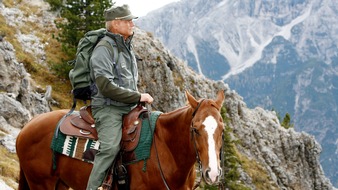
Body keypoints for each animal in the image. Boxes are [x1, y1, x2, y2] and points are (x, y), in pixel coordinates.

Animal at [17, 90, 226, 190]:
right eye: (195, 129)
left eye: (222, 129)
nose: (213, 174)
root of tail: (27, 126)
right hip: (41, 184)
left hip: (60, 183)